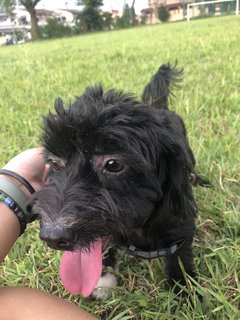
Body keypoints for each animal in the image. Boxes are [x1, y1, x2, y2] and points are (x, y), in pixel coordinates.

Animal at [31, 64, 197, 300]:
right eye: (54, 161)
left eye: (113, 164)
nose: (52, 237)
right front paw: (102, 278)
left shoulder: (181, 226)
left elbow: (180, 258)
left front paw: (184, 291)